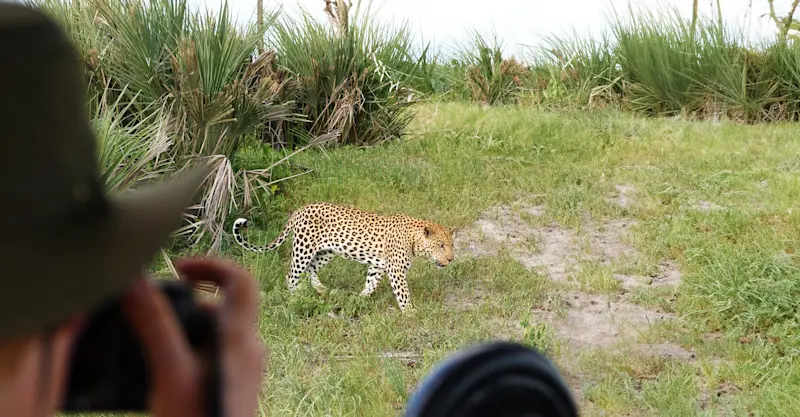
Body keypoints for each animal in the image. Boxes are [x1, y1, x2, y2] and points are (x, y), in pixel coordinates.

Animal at [231, 202, 456, 312]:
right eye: (441, 245)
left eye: (451, 245)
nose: (451, 259)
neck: (414, 240)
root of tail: (299, 210)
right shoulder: (396, 271)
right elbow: (403, 293)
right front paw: (409, 312)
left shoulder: (378, 266)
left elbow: (370, 284)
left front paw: (359, 299)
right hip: (304, 249)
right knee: (291, 274)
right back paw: (295, 297)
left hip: (325, 252)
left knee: (312, 269)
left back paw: (321, 289)